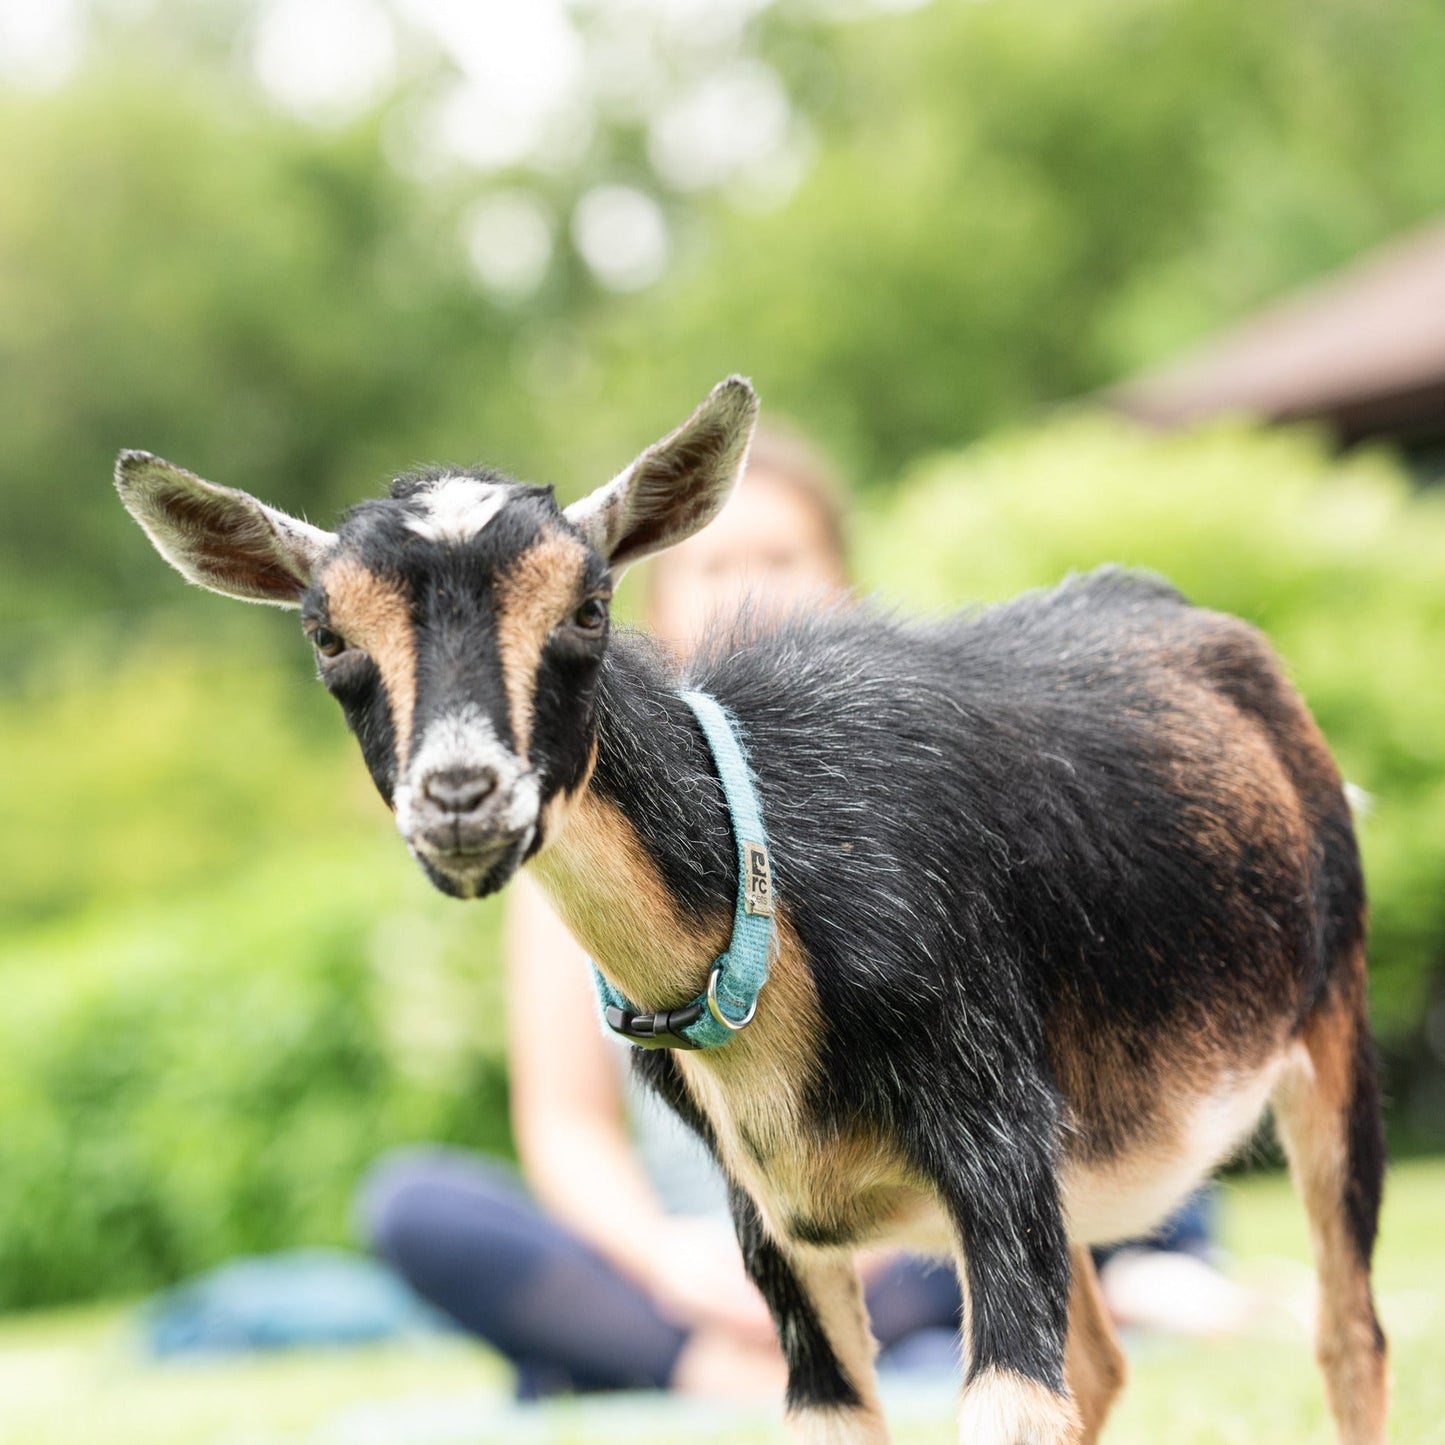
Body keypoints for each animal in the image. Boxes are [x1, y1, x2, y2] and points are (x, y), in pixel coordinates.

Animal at [115, 378, 1387, 1439]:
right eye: (328, 633)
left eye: (588, 604)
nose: (461, 796)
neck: (775, 884)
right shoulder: (773, 1221)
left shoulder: (992, 1137)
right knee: (1109, 1361)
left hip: (1325, 1028)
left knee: (1346, 1334)